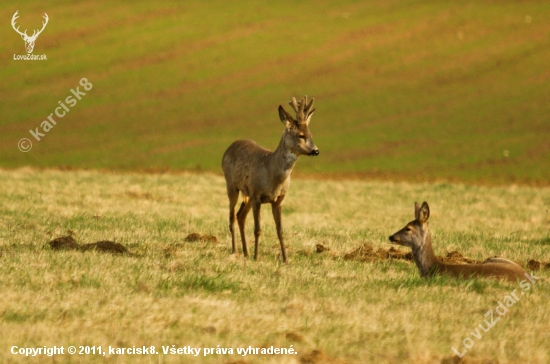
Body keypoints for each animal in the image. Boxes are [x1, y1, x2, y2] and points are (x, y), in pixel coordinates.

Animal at [222, 95, 322, 264]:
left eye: (311, 135)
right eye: (301, 135)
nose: (315, 151)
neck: (273, 176)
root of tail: (228, 148)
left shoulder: (278, 199)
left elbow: (280, 230)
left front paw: (286, 260)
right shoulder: (256, 195)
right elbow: (257, 229)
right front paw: (256, 257)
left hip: (246, 195)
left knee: (240, 216)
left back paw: (245, 253)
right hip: (232, 185)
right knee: (231, 217)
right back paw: (235, 252)